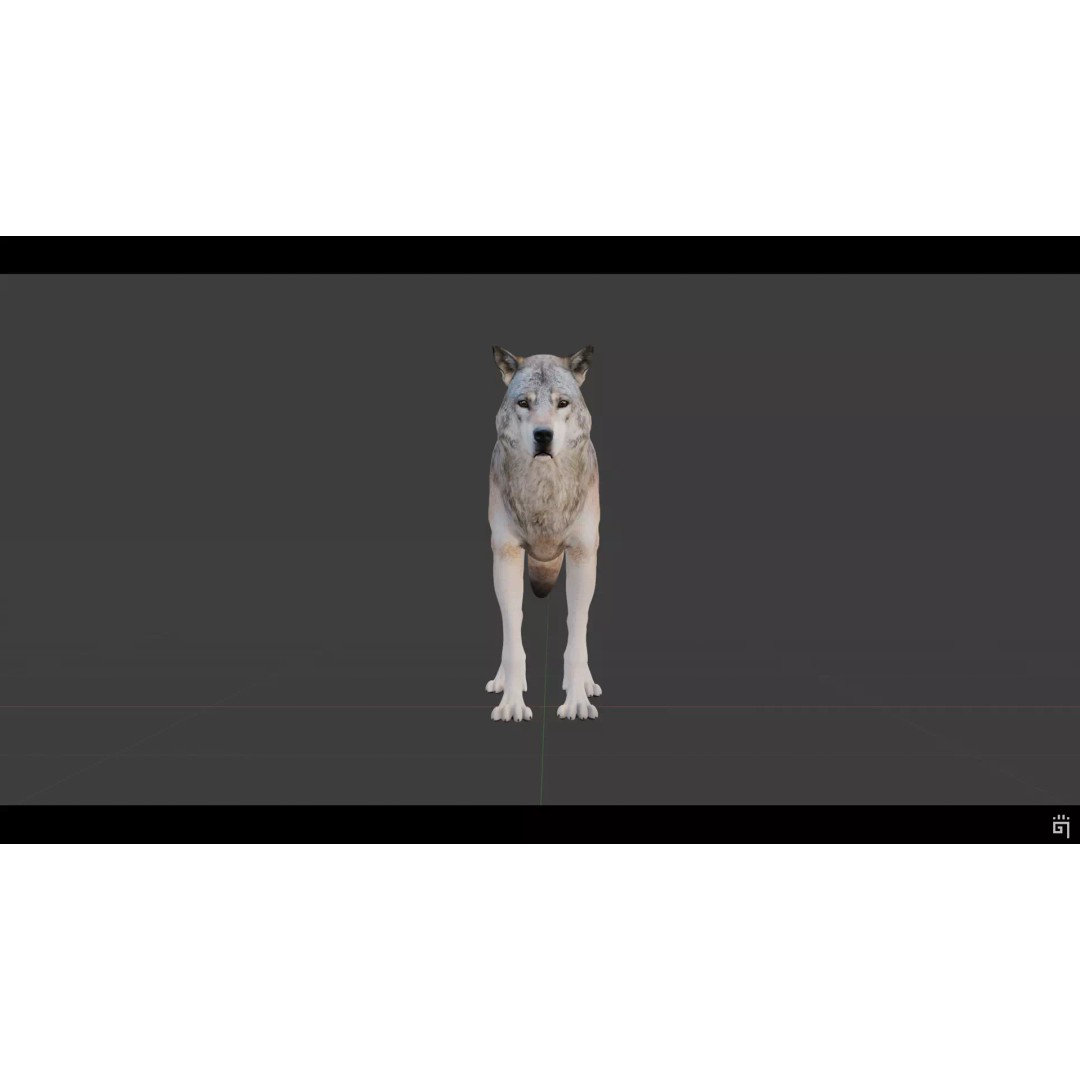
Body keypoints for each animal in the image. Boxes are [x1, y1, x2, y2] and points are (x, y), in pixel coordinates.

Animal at [487, 345, 602, 722]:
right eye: (524, 403)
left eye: (562, 403)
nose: (543, 435)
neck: (544, 493)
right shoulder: (506, 554)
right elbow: (513, 636)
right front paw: (511, 703)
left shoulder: (582, 555)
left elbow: (576, 633)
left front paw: (577, 700)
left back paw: (588, 684)